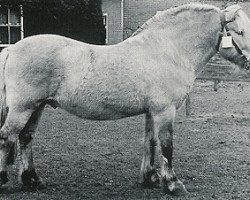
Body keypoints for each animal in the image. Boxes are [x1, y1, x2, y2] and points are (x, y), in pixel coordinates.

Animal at [0, 2, 250, 195]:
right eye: (240, 32)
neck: (166, 50)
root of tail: (12, 49)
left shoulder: (151, 112)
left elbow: (150, 142)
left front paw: (150, 178)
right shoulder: (165, 111)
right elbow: (167, 145)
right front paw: (172, 183)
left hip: (37, 107)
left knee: (25, 138)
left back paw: (32, 180)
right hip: (23, 108)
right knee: (7, 136)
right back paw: (5, 179)